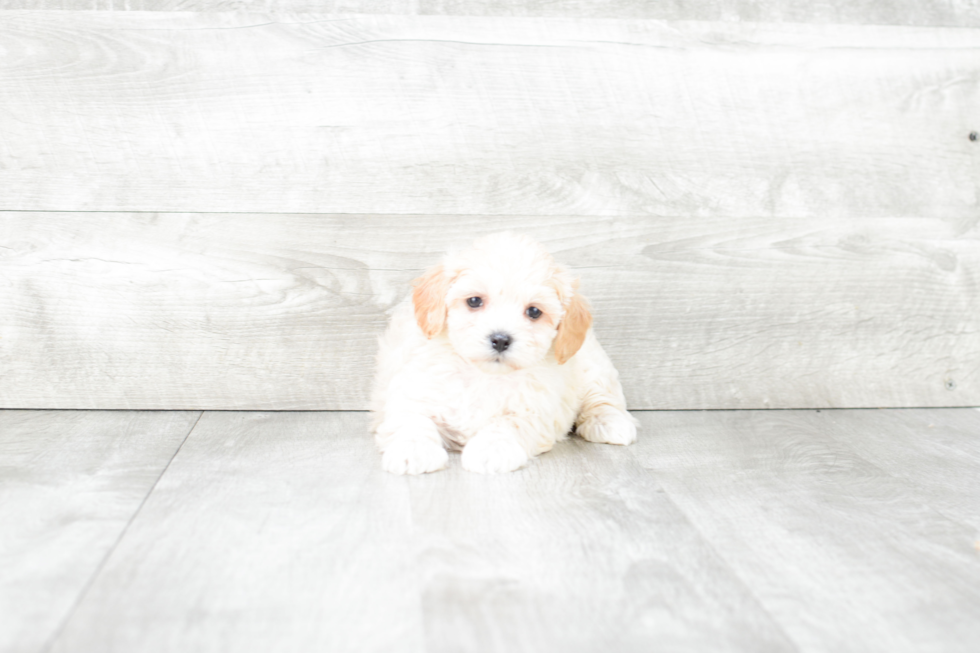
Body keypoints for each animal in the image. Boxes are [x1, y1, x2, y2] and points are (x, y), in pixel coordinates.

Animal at [368, 230, 636, 474]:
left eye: (534, 311)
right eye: (474, 301)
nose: (500, 340)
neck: (483, 375)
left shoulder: (536, 409)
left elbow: (509, 423)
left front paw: (492, 449)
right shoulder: (414, 389)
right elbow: (411, 419)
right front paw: (412, 450)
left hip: (593, 367)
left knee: (603, 398)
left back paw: (612, 423)